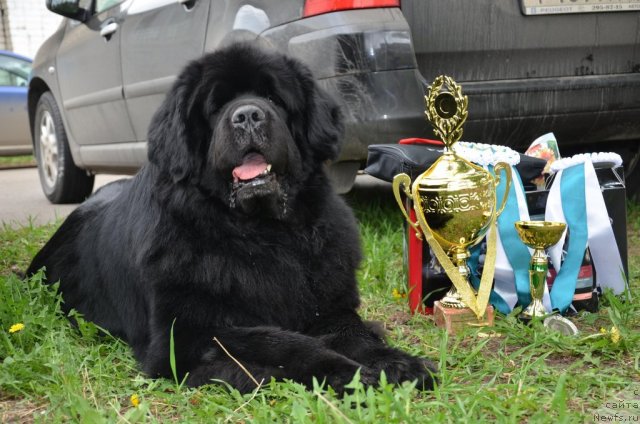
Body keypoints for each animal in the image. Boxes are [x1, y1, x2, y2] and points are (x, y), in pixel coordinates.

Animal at [26, 43, 436, 394]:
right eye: (216, 105)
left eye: (273, 99)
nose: (248, 115)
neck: (262, 233)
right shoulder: (188, 334)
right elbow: (283, 342)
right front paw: (348, 372)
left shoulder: (331, 304)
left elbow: (355, 332)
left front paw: (398, 363)